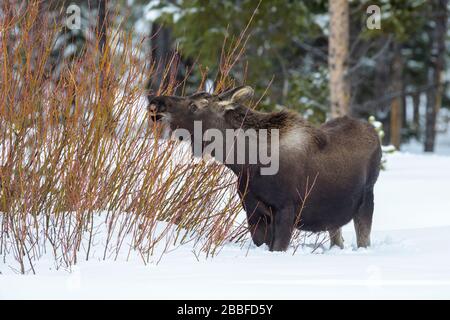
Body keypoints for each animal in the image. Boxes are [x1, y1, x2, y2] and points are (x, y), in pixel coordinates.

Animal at [149, 86, 382, 251]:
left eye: (195, 105)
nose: (155, 102)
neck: (244, 163)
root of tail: (373, 131)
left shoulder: (286, 209)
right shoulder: (254, 211)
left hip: (366, 199)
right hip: (333, 215)